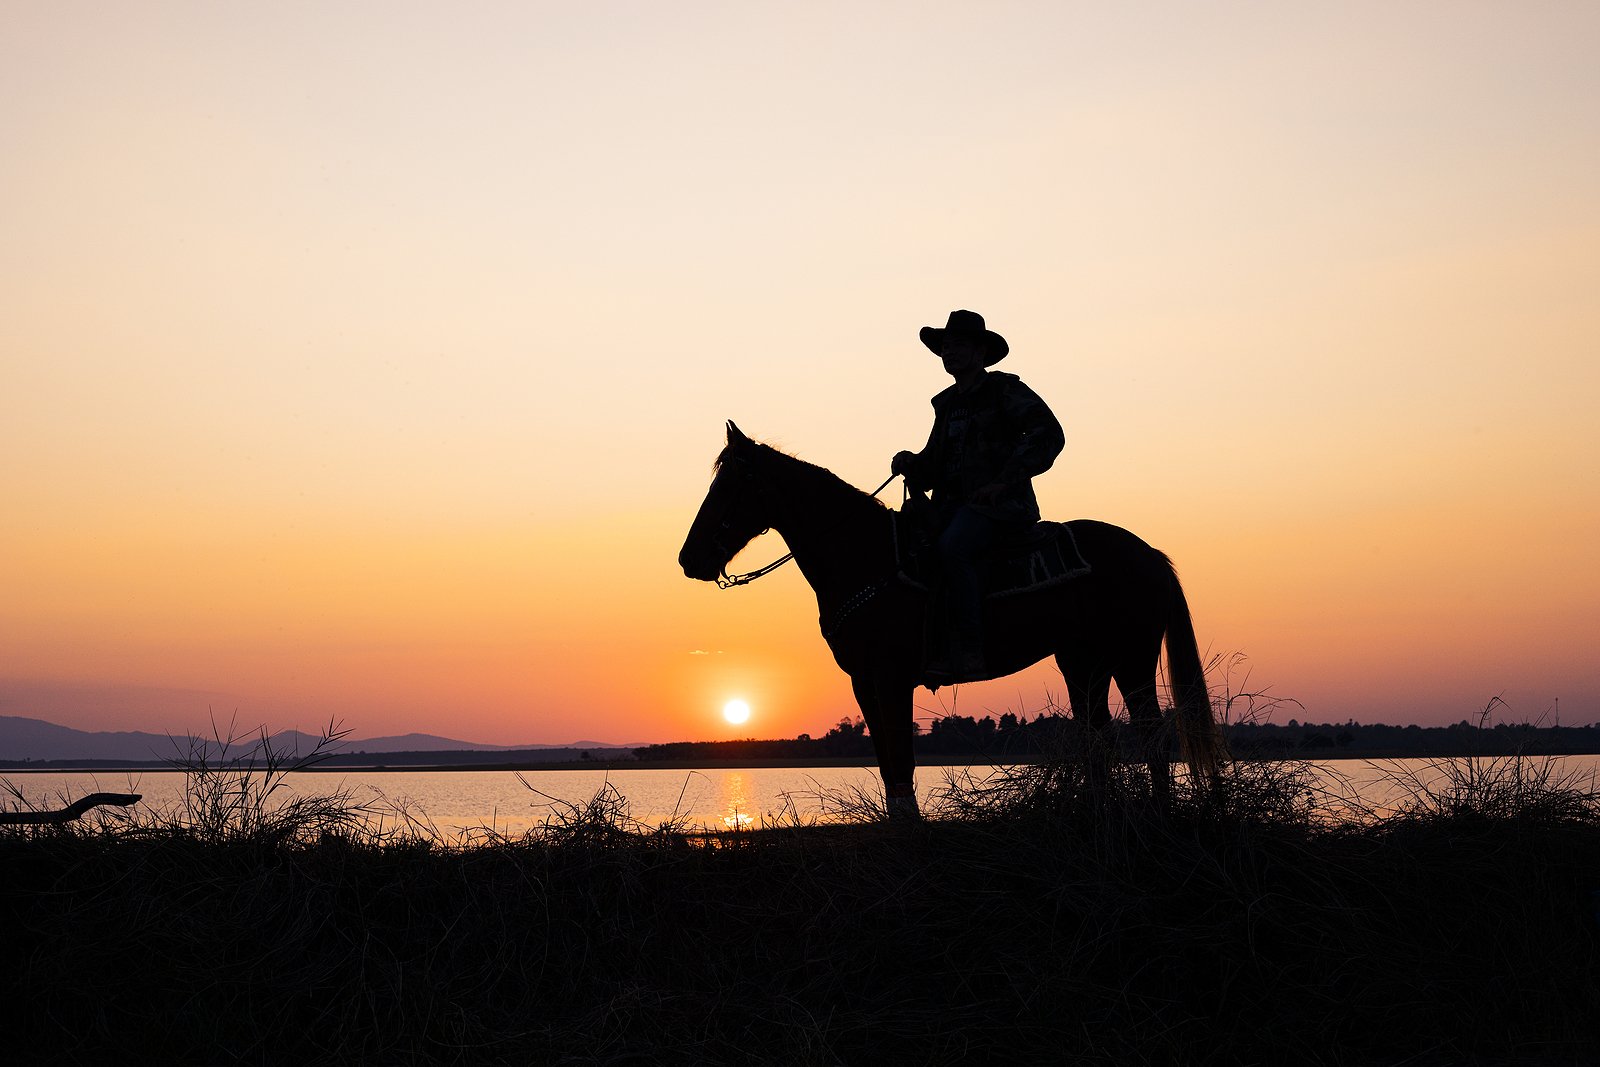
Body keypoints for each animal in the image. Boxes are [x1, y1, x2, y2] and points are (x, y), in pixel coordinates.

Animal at [678, 422, 1222, 812]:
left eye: (730, 485)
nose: (690, 558)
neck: (867, 554)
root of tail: (1149, 554)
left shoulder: (891, 677)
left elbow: (902, 756)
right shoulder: (863, 681)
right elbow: (887, 762)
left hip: (1132, 658)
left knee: (1151, 736)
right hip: (1082, 663)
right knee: (1100, 739)